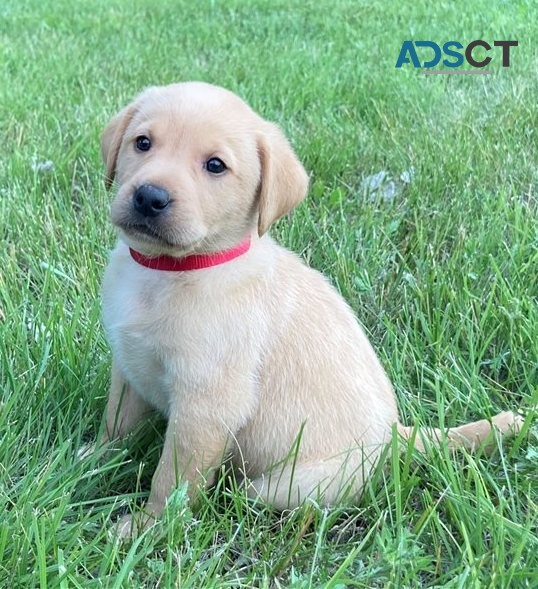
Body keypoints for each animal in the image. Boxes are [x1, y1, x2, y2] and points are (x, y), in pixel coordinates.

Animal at [98, 80, 520, 536]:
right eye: (142, 143)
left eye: (215, 166)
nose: (149, 197)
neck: (172, 269)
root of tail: (395, 435)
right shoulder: (128, 367)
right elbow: (115, 426)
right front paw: (89, 461)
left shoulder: (207, 404)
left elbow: (173, 479)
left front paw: (147, 526)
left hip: (288, 484)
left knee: (250, 495)